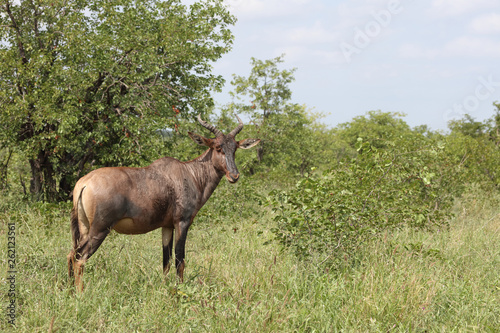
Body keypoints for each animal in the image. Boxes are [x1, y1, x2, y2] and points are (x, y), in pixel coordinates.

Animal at [67, 114, 260, 290]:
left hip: (84, 228)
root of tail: (84, 183)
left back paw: (69, 291)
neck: (189, 173)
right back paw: (80, 293)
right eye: (218, 147)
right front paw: (179, 290)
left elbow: (165, 261)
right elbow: (179, 259)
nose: (234, 176)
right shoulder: (182, 222)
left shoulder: (166, 226)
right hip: (100, 230)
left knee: (71, 254)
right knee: (80, 258)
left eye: (234, 148)